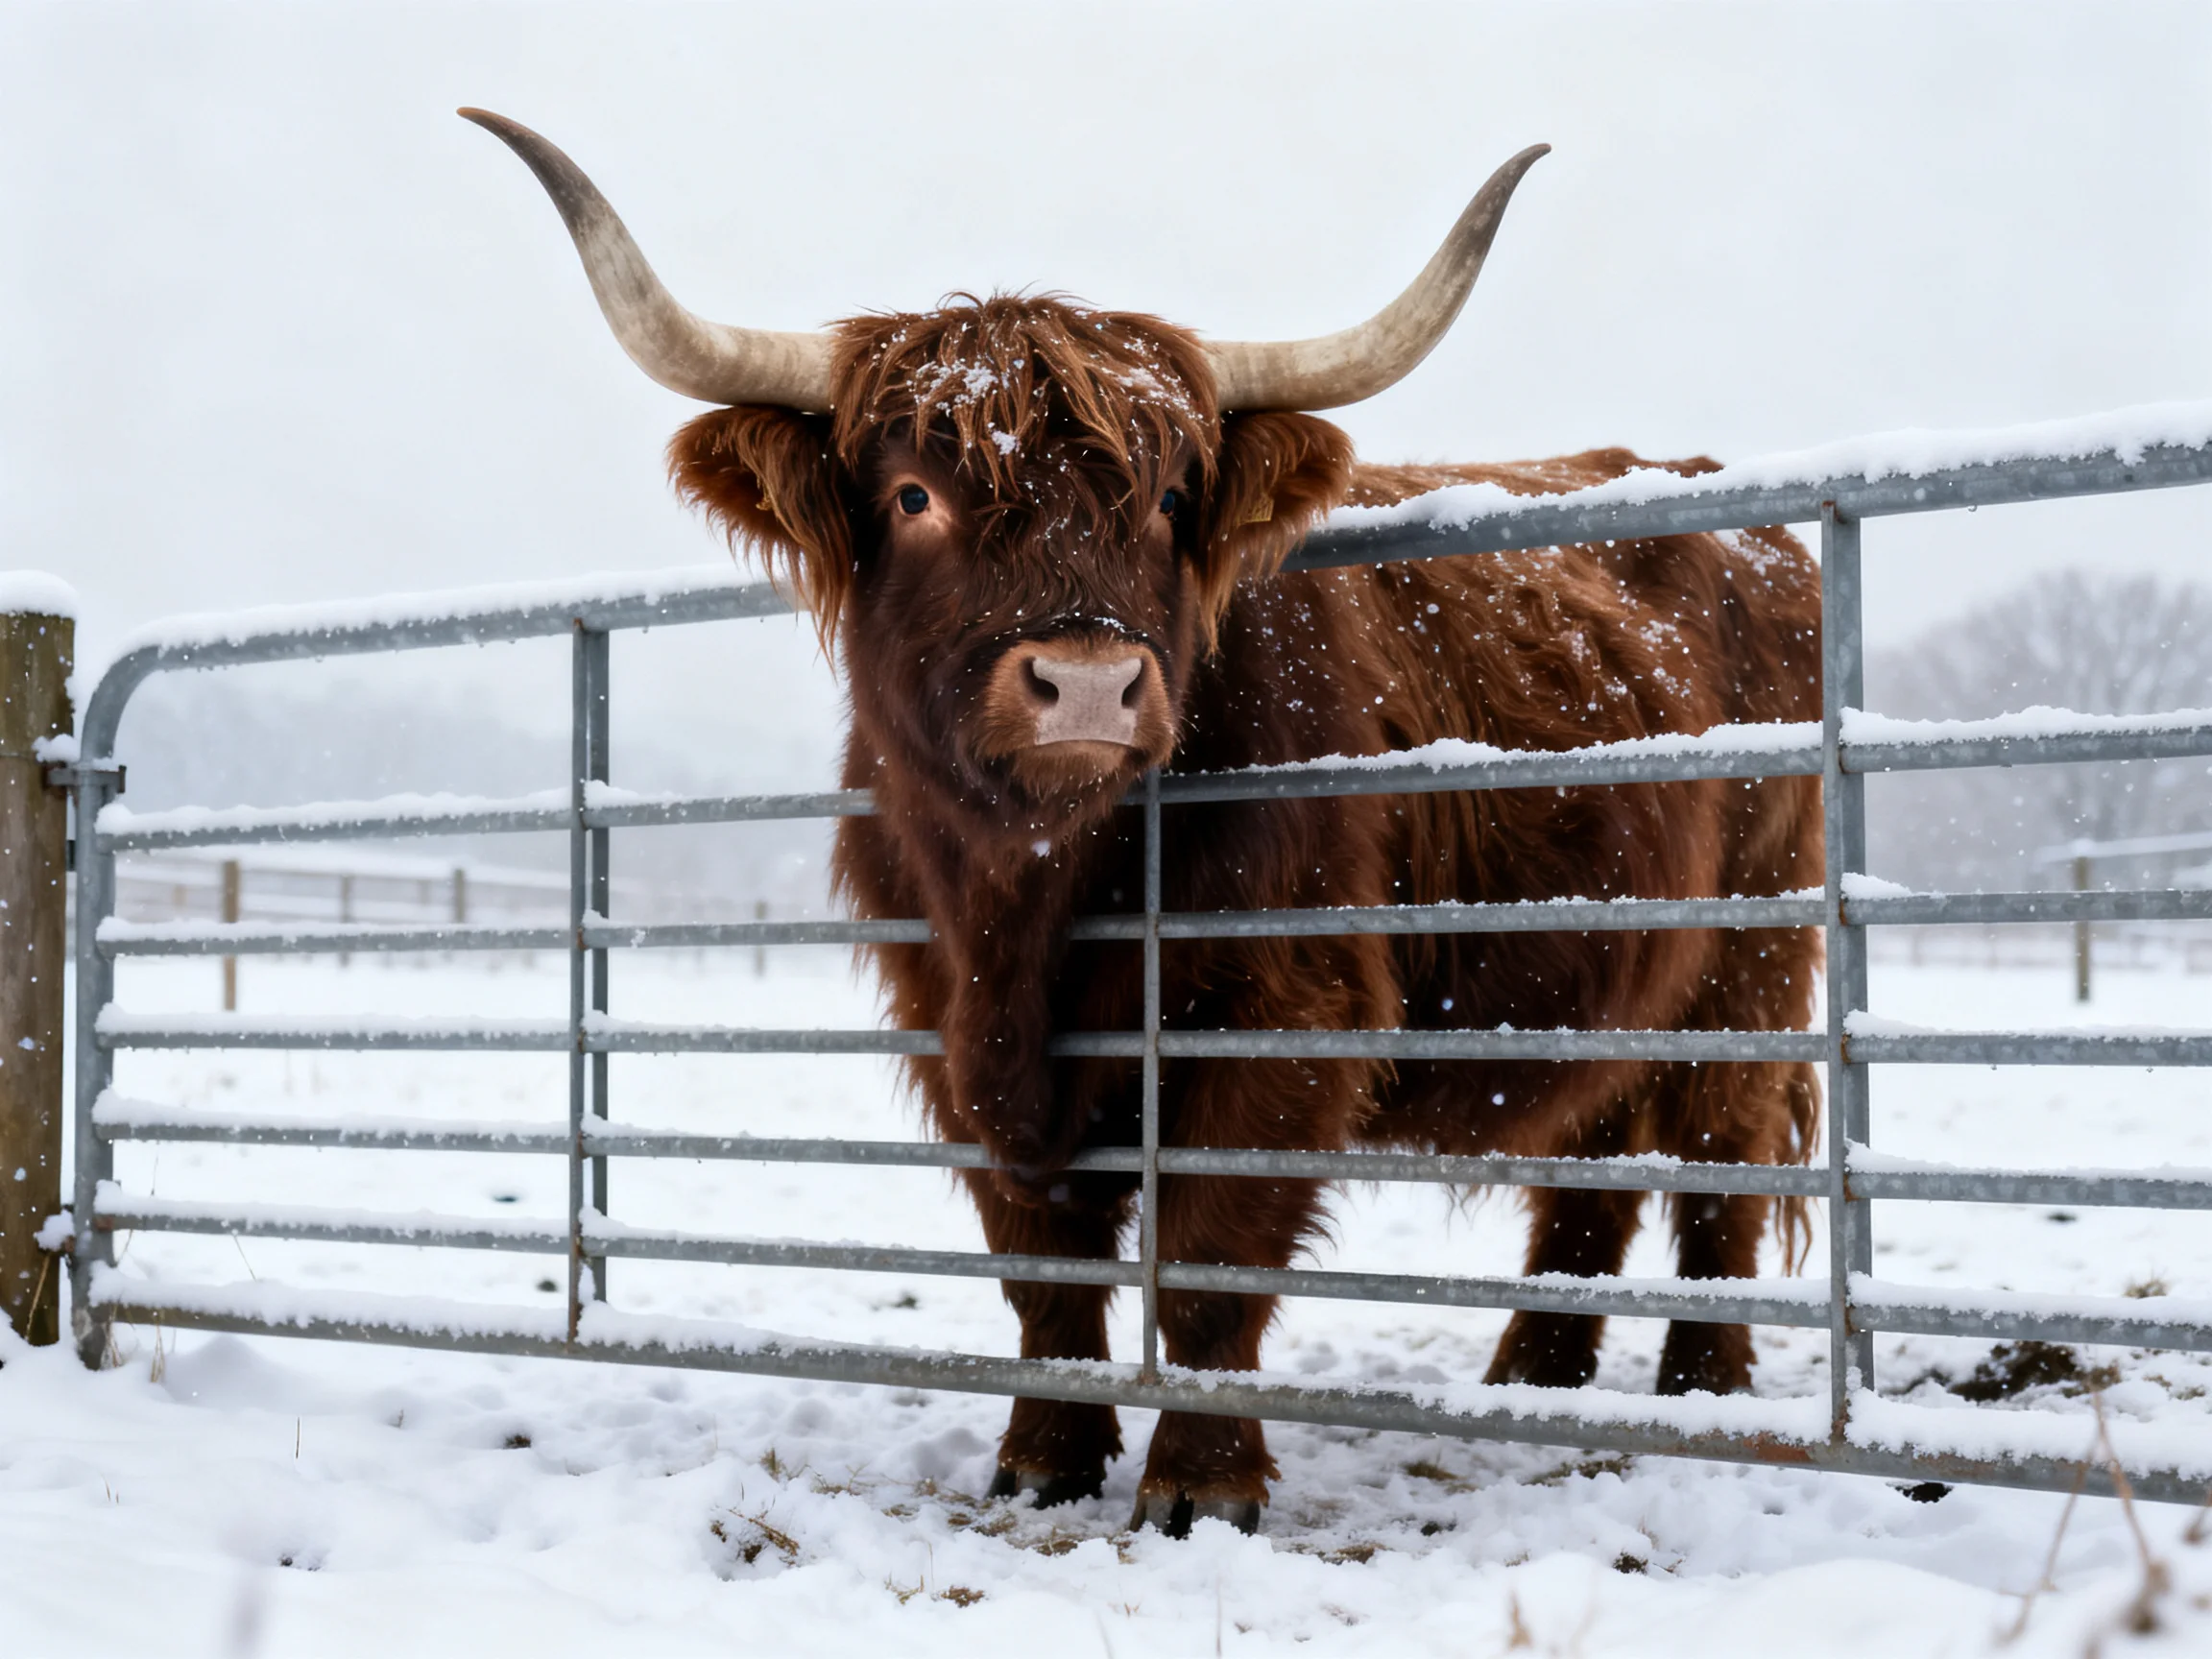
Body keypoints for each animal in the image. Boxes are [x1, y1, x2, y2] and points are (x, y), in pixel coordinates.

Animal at [465, 110, 1825, 1536]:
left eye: (1171, 501)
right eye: (913, 495)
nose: (1088, 682)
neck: (1027, 907)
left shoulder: (1284, 1016)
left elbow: (1212, 1259)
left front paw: (1199, 1485)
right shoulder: (953, 1029)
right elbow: (1043, 1271)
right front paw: (1043, 1458)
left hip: (1753, 960)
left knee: (1723, 1158)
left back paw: (1701, 1388)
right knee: (1593, 1153)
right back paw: (1535, 1377)